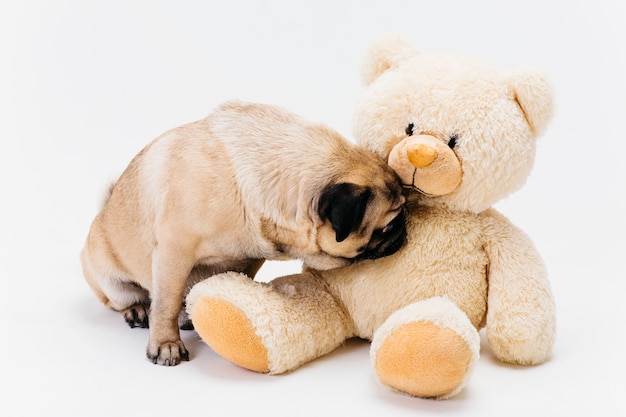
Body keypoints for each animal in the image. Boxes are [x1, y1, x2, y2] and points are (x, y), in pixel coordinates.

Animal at [80, 100, 404, 364]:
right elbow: (166, 304)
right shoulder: (174, 252)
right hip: (110, 281)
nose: (403, 232)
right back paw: (137, 310)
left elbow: (233, 277)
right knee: (129, 300)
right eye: (386, 226)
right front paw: (165, 343)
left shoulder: (250, 256)